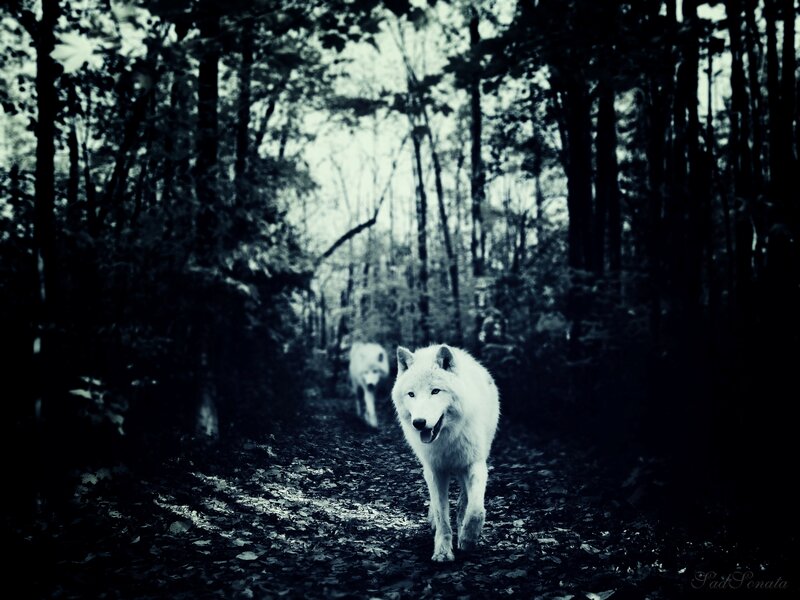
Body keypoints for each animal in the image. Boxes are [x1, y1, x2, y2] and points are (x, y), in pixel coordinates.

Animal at [392, 344, 500, 562]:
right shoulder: (434, 471)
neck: (447, 438)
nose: (419, 423)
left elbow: (476, 509)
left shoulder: (475, 463)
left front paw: (468, 539)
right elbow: (442, 515)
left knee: (465, 499)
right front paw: (443, 551)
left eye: (435, 391)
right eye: (411, 394)